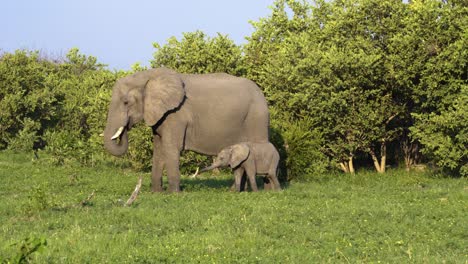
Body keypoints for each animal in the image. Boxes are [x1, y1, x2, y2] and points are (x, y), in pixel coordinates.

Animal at [102, 68, 270, 192]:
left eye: (126, 102)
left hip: (256, 116)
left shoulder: (176, 115)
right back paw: (237, 191)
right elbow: (159, 149)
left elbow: (171, 147)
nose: (125, 127)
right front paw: (157, 193)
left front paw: (173, 194)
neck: (148, 76)